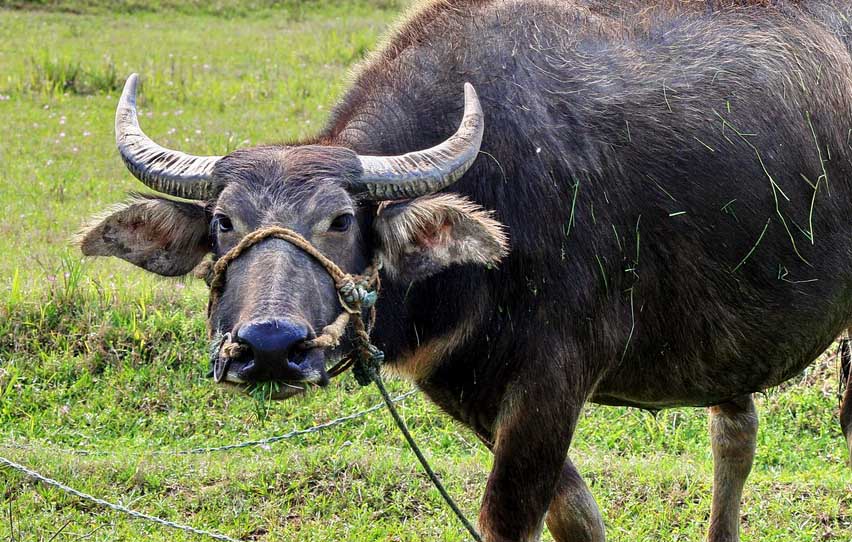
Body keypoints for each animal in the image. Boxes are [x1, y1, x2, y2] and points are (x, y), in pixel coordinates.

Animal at [78, 1, 852, 542]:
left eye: (341, 220)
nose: (270, 347)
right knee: (735, 433)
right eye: (223, 222)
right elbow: (574, 512)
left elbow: (511, 519)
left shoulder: (555, 377)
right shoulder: (462, 382)